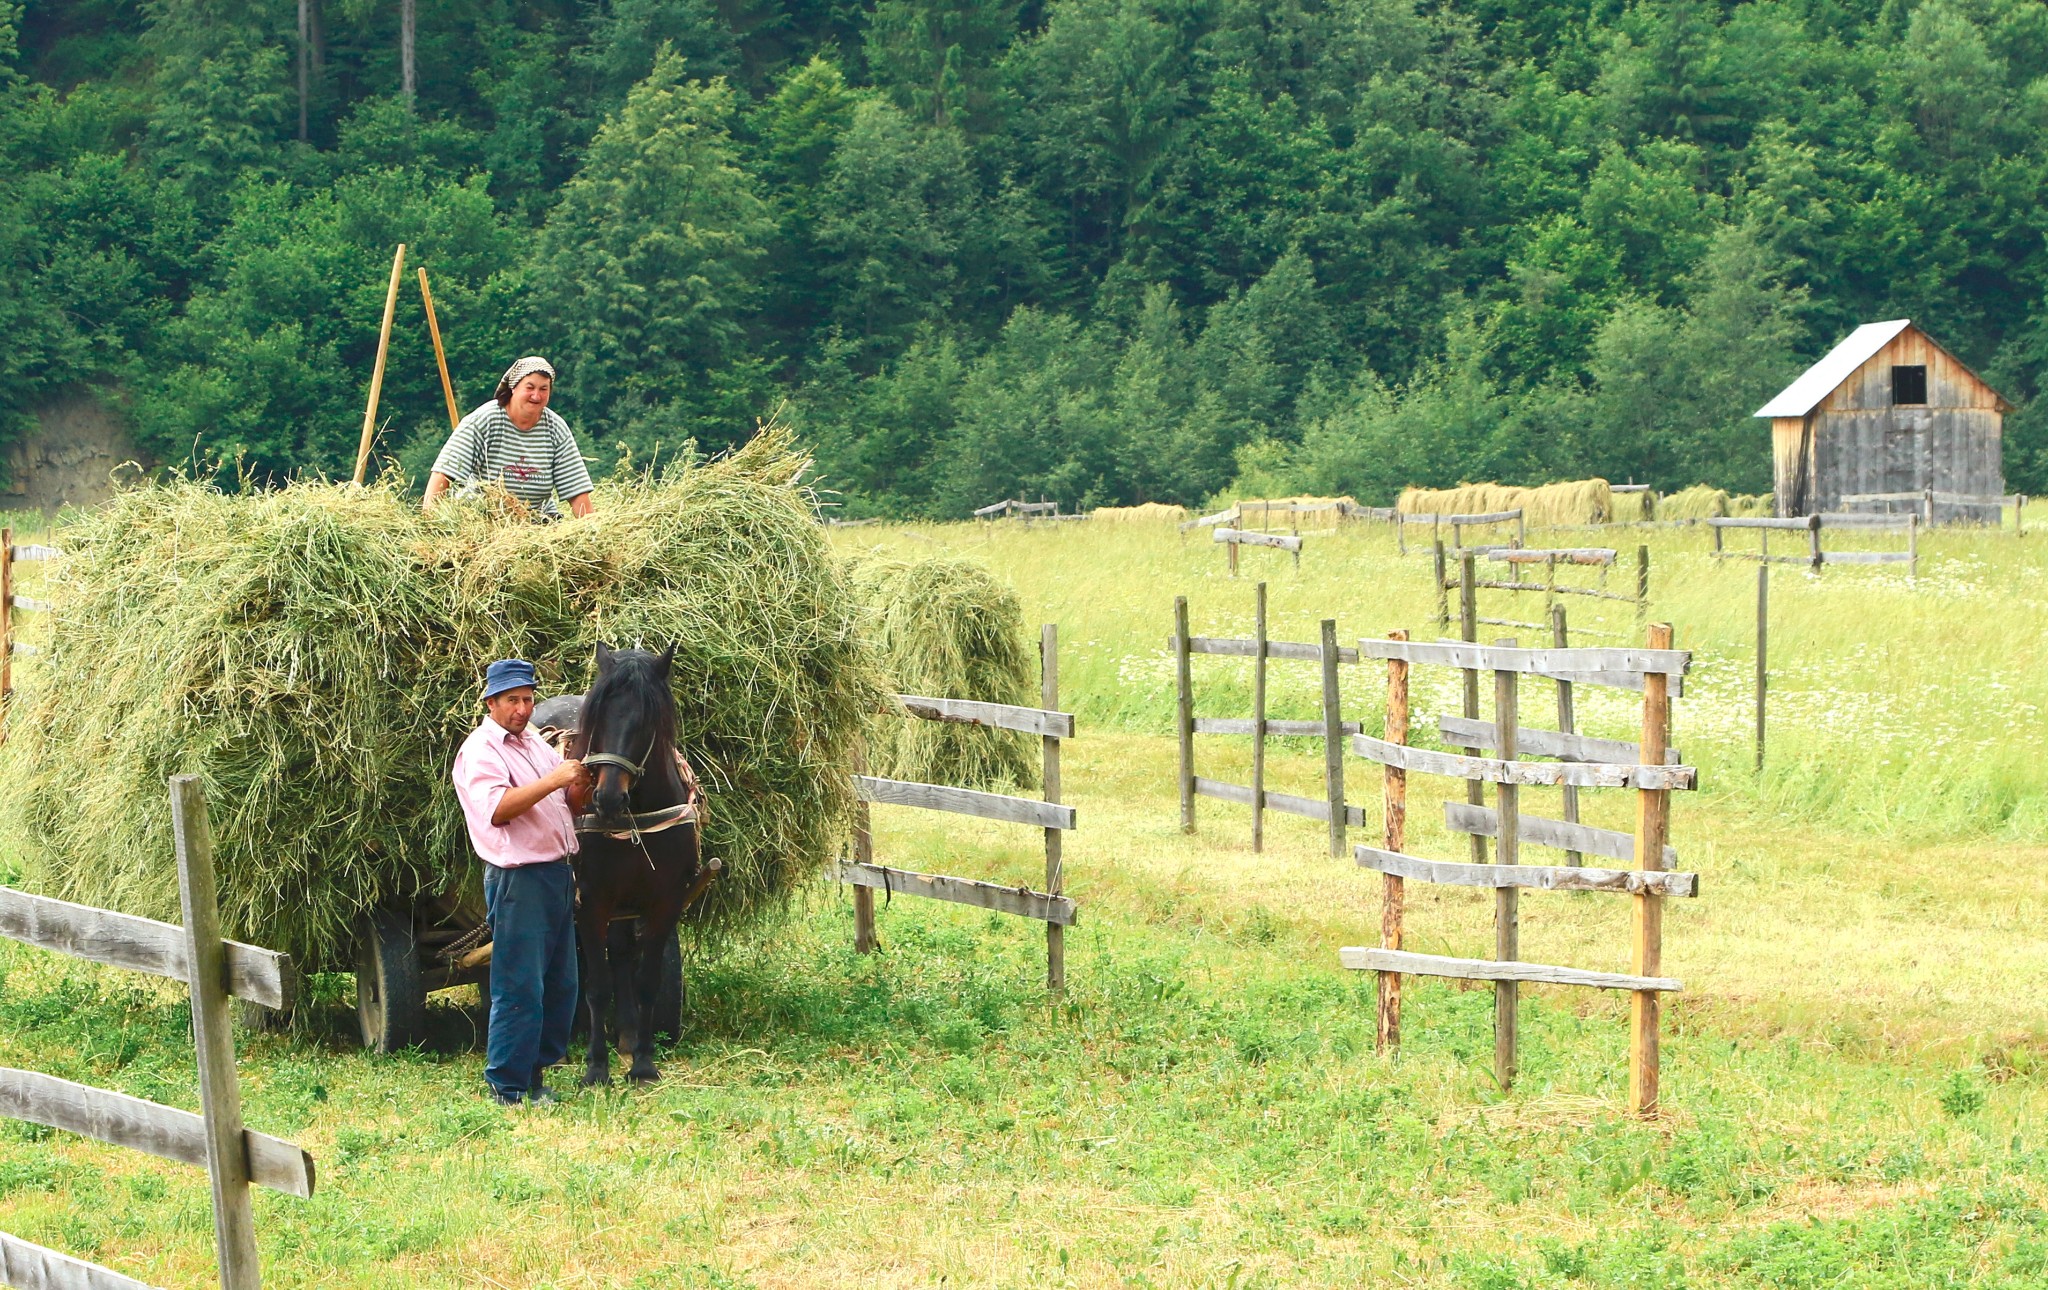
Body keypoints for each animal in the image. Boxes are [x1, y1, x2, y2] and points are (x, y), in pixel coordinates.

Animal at [565, 642, 708, 1089]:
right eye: (597, 715)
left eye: (647, 721)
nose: (607, 799)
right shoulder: (590, 902)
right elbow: (596, 986)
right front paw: (596, 1067)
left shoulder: (665, 902)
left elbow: (646, 981)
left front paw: (644, 1062)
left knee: (623, 952)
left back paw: (627, 1035)